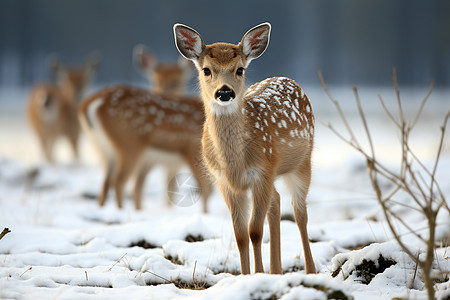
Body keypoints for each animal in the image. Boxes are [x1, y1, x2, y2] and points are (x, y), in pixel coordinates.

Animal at [78, 46, 211, 211]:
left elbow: (169, 189)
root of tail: (90, 104)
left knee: (106, 183)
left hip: (103, 148)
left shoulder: (168, 163)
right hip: (129, 143)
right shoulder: (191, 149)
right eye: (156, 80)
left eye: (176, 82)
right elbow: (205, 189)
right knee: (119, 181)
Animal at [173, 21, 316, 274]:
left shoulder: (262, 171)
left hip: (302, 163)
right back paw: (276, 270)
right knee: (276, 202)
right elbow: (239, 234)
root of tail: (290, 79)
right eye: (206, 70)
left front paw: (258, 274)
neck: (234, 164)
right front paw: (246, 275)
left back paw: (310, 271)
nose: (224, 92)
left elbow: (254, 231)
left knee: (300, 213)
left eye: (240, 69)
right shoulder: (224, 182)